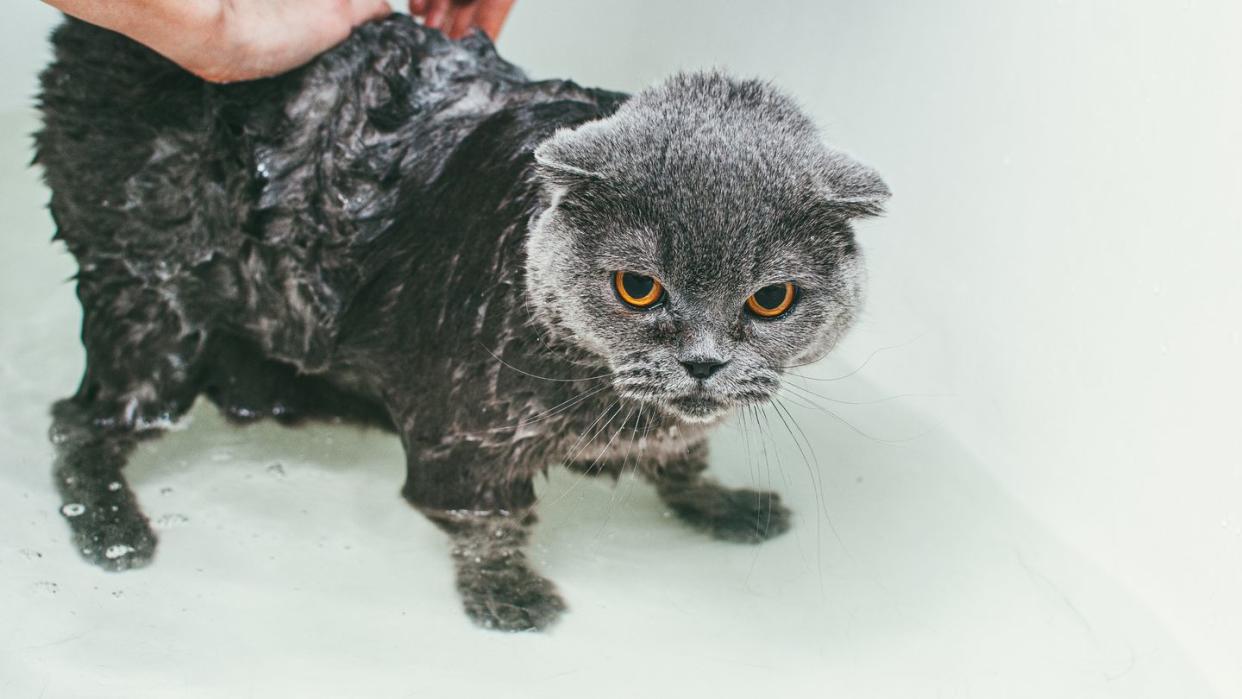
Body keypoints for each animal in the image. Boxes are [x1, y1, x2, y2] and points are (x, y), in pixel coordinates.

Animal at [38, 15, 889, 628]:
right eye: (637, 287)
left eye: (771, 298)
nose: (703, 362)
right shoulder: (460, 434)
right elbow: (488, 525)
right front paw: (510, 597)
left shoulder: (664, 430)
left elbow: (684, 462)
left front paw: (729, 506)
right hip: (149, 302)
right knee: (79, 423)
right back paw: (114, 534)